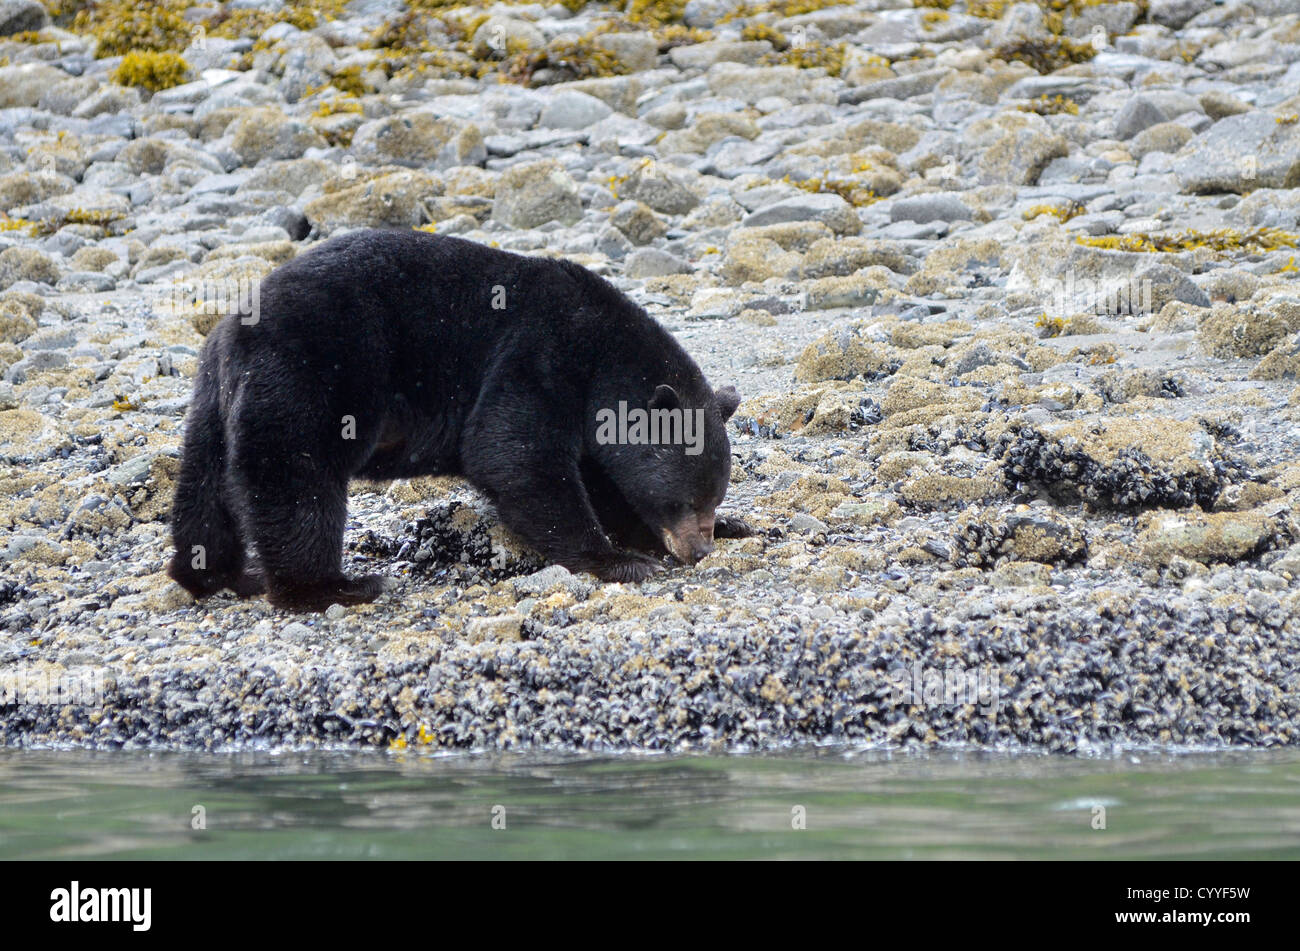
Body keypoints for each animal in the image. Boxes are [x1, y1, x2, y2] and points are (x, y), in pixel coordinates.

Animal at [167, 228, 752, 612]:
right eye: (684, 500)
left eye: (713, 496)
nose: (698, 550)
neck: (602, 355)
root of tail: (235, 327)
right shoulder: (539, 356)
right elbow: (513, 454)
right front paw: (616, 559)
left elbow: (603, 479)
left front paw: (732, 525)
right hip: (312, 370)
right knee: (294, 471)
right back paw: (329, 587)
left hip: (214, 399)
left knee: (205, 482)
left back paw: (221, 575)